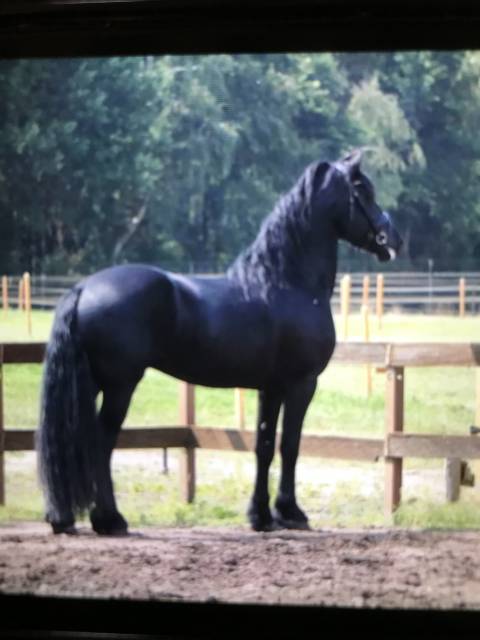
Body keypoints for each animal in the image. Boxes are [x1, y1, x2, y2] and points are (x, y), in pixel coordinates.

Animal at [37, 150, 402, 535]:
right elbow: (290, 445)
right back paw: (110, 519)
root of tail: (83, 288)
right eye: (363, 191)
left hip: (90, 383)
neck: (287, 283)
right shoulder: (302, 384)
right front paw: (291, 512)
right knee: (101, 441)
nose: (394, 240)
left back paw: (63, 517)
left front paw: (261, 516)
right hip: (120, 385)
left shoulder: (271, 387)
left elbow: (264, 445)